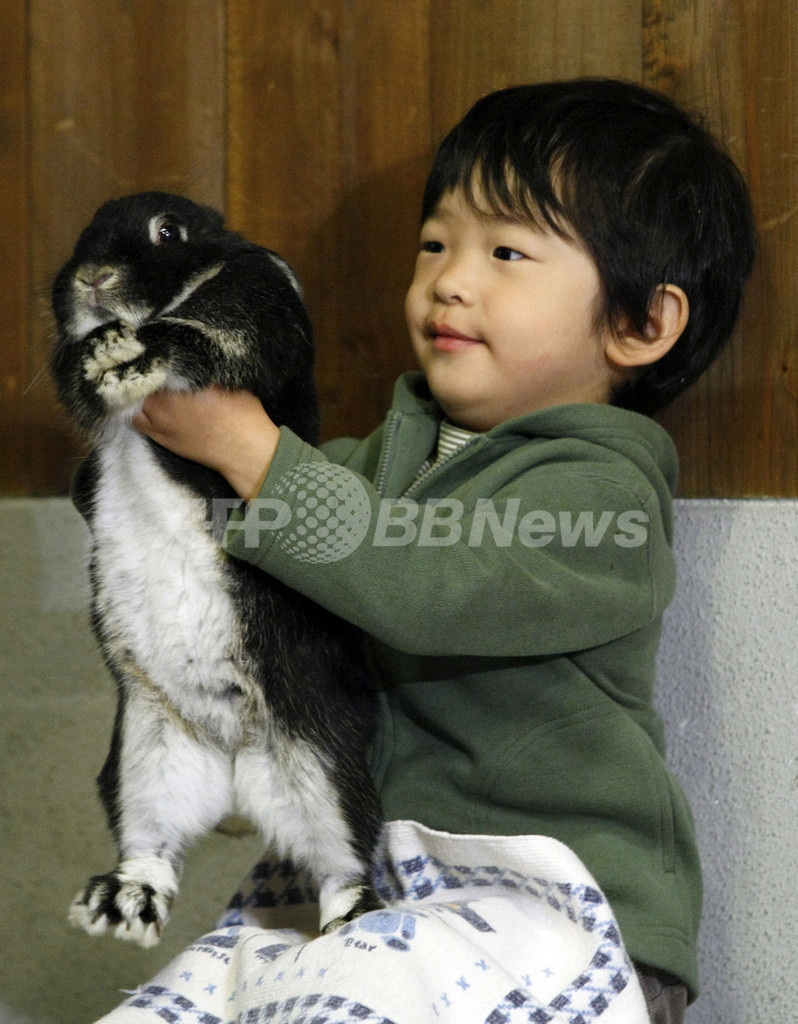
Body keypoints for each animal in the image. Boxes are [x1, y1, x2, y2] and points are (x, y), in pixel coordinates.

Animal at [49, 190, 383, 942]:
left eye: (167, 232)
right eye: (83, 231)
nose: (92, 279)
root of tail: (233, 761)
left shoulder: (254, 309)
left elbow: (200, 339)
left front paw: (129, 356)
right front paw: (99, 353)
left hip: (320, 758)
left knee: (346, 857)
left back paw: (354, 927)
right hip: (142, 753)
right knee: (152, 845)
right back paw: (120, 905)